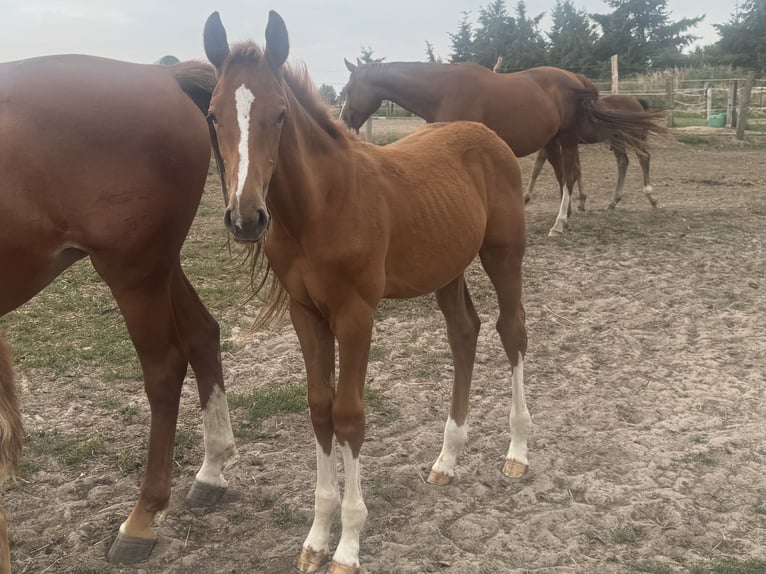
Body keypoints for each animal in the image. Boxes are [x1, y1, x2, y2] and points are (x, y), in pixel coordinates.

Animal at [0, 55, 238, 568]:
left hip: (134, 272)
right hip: (162, 265)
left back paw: (142, 520)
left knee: (166, 370)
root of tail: (160, 75)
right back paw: (210, 472)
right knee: (203, 332)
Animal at [204, 10, 529, 573]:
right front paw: (316, 537)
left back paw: (517, 451)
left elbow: (350, 415)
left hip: (504, 257)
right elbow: (319, 408)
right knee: (464, 333)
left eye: (281, 114)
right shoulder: (306, 313)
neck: (322, 206)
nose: (246, 219)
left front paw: (348, 544)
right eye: (213, 115)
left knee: (512, 331)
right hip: (446, 269)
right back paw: (447, 458)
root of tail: (487, 134)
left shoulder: (356, 315)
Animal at [524, 95, 655, 211]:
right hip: (617, 139)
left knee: (644, 156)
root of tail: (637, 102)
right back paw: (613, 202)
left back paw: (651, 196)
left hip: (632, 136)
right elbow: (540, 167)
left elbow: (540, 168)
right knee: (623, 161)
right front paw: (581, 201)